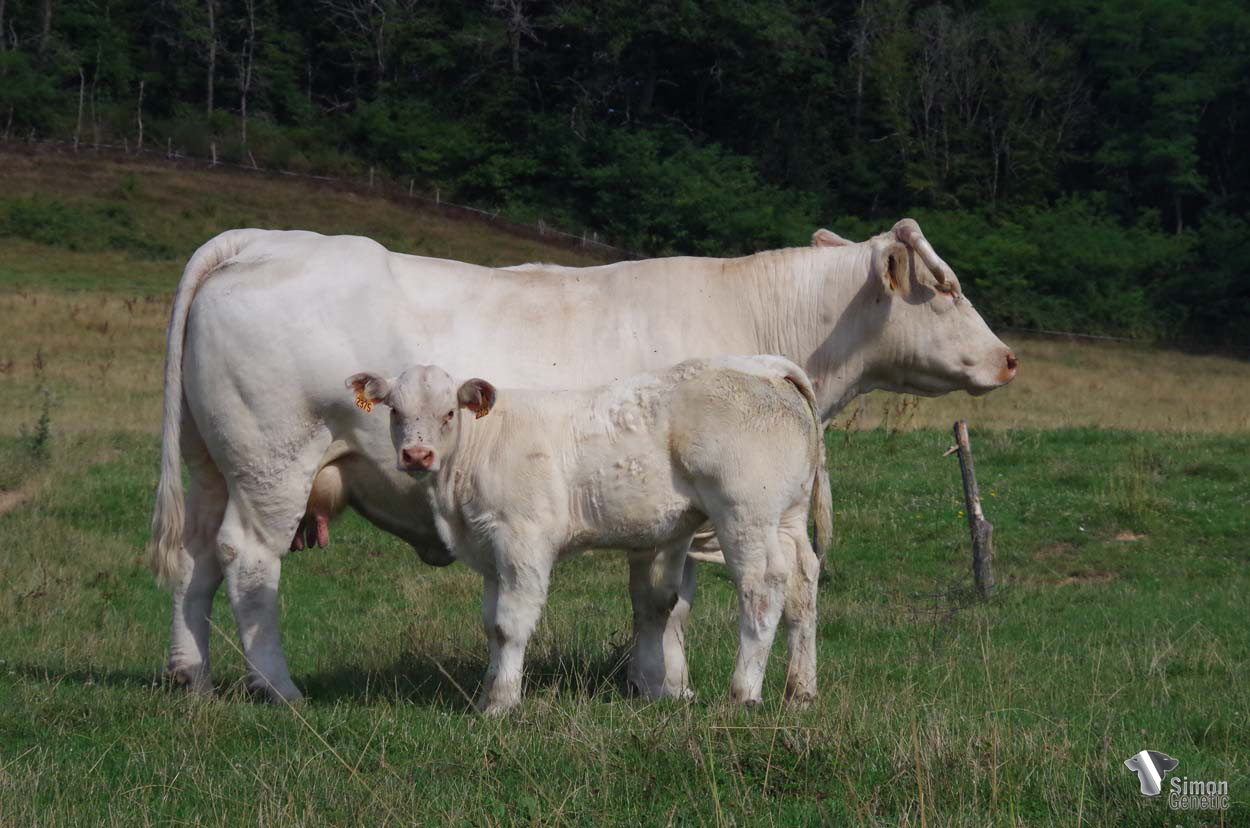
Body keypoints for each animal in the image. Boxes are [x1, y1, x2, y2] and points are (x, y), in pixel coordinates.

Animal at [346, 356, 832, 712]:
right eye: (395, 411)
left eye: (448, 413)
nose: (417, 455)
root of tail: (764, 367)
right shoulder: (489, 553)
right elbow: (490, 625)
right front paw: (487, 693)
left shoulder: (523, 542)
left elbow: (509, 625)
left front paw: (501, 704)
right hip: (786, 516)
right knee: (802, 585)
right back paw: (801, 691)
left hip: (745, 513)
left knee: (762, 587)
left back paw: (743, 694)